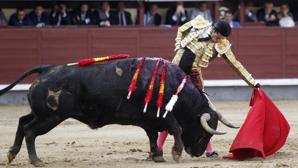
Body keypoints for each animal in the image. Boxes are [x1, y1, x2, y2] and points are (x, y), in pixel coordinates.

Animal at [0, 57, 235, 167]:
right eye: (204, 132)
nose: (197, 153)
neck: (174, 86)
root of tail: (47, 68)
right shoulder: (162, 115)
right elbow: (176, 128)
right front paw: (175, 153)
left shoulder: (149, 120)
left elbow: (153, 136)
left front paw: (157, 156)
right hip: (51, 116)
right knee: (30, 131)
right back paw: (35, 160)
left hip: (42, 113)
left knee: (22, 122)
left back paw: (12, 154)